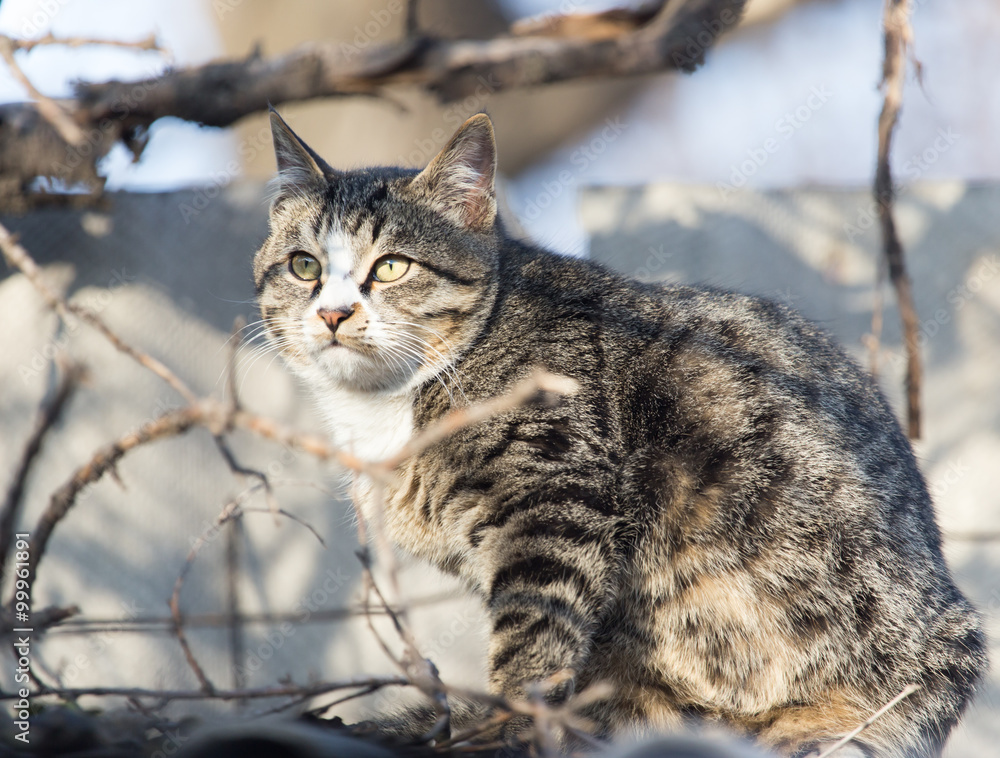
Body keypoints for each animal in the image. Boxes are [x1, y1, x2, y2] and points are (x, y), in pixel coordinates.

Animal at [254, 108, 988, 758]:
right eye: (303, 266)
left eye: (392, 266)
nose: (333, 313)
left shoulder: (553, 497)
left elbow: (532, 633)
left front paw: (508, 720)